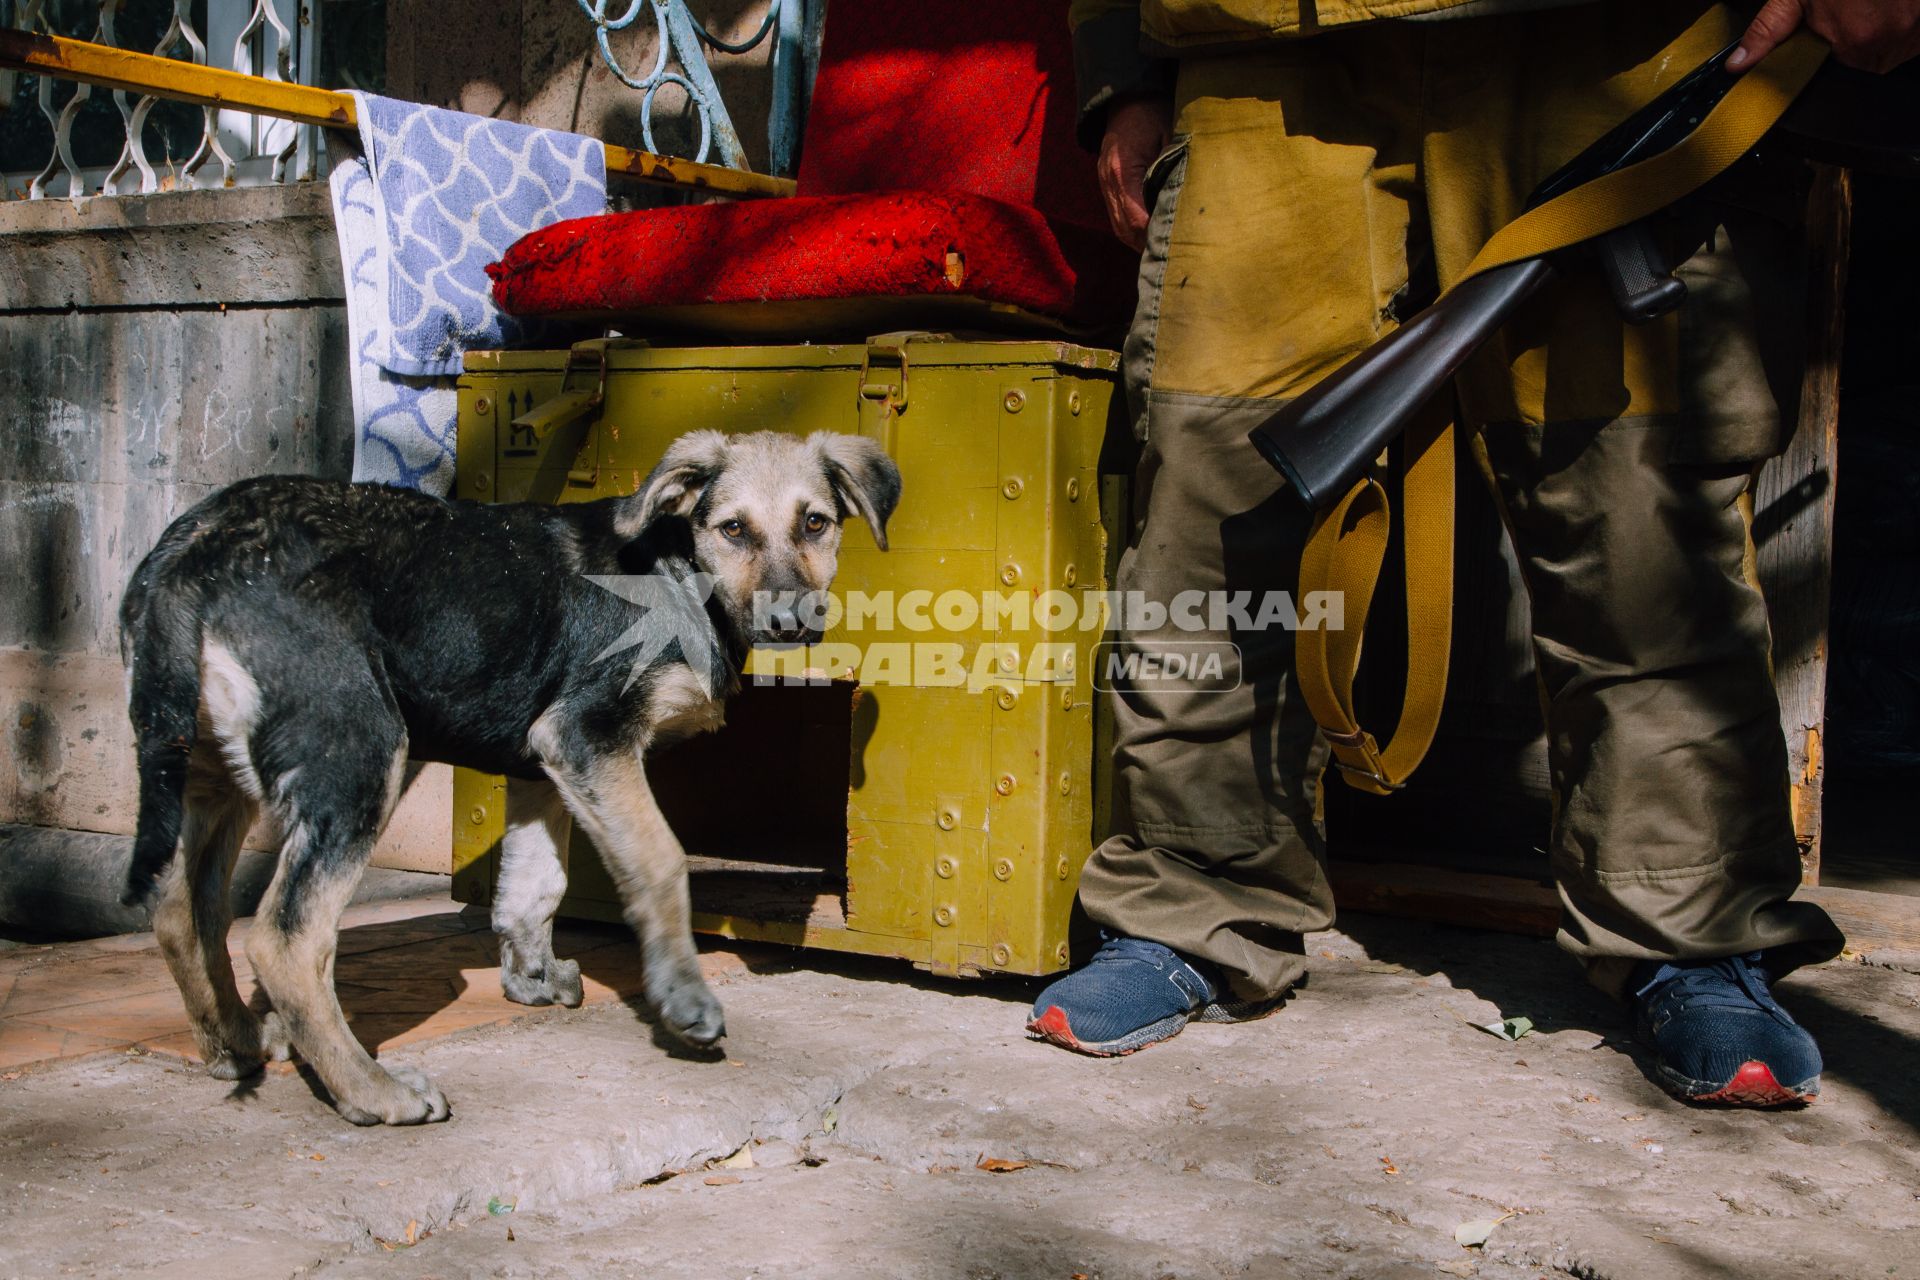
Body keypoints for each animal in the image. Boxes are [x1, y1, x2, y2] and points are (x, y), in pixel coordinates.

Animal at [120, 427, 898, 1120]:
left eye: (816, 523)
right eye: (733, 529)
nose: (791, 621)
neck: (679, 569)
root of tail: (190, 553)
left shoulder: (545, 762)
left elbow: (534, 884)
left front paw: (532, 978)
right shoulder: (589, 734)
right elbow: (660, 860)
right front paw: (683, 998)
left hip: (209, 771)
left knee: (185, 909)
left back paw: (237, 1042)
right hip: (359, 751)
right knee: (284, 940)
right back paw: (372, 1093)